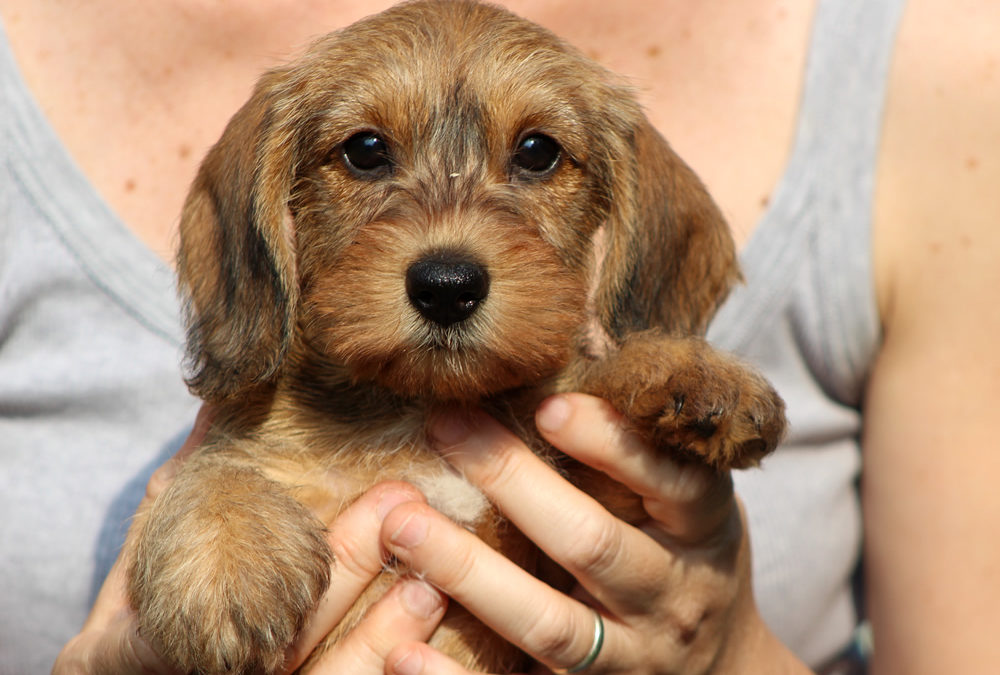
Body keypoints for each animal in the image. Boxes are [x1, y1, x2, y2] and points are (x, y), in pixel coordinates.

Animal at [125, 2, 784, 672]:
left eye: (538, 151)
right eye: (365, 149)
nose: (446, 286)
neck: (420, 405)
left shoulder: (591, 521)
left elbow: (593, 389)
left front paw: (686, 369)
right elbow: (214, 467)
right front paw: (222, 561)